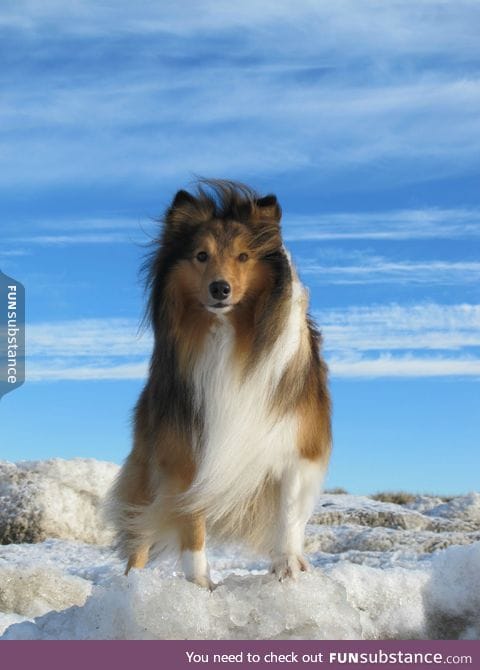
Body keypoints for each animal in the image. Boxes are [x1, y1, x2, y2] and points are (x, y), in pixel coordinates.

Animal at [110, 178, 332, 588]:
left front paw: (287, 565)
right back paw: (132, 583)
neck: (229, 334)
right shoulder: (186, 450)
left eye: (243, 257)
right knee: (139, 531)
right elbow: (191, 523)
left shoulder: (295, 444)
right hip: (148, 463)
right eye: (201, 255)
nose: (220, 289)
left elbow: (288, 511)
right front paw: (199, 585)